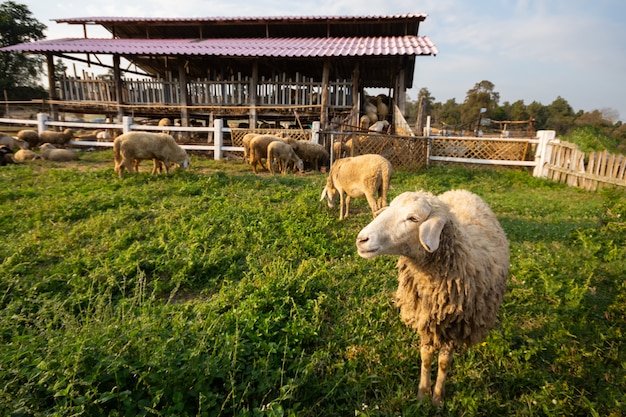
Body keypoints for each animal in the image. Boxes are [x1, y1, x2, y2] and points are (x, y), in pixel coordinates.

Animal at [354, 190, 510, 404]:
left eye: (413, 218)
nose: (361, 240)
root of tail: (462, 191)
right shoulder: (426, 319)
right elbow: (426, 358)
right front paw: (422, 394)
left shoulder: (453, 326)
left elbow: (444, 363)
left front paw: (437, 398)